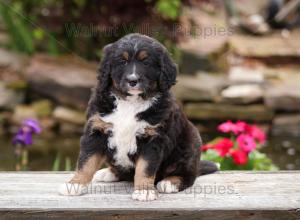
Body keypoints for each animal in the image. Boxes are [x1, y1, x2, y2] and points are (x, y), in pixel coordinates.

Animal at [58, 33, 218, 201]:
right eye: (122, 61)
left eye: (146, 62)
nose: (132, 80)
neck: (130, 103)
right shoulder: (96, 131)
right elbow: (86, 162)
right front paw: (74, 184)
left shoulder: (152, 139)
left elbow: (145, 168)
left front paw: (144, 191)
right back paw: (108, 172)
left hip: (191, 141)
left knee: (189, 175)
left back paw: (170, 182)